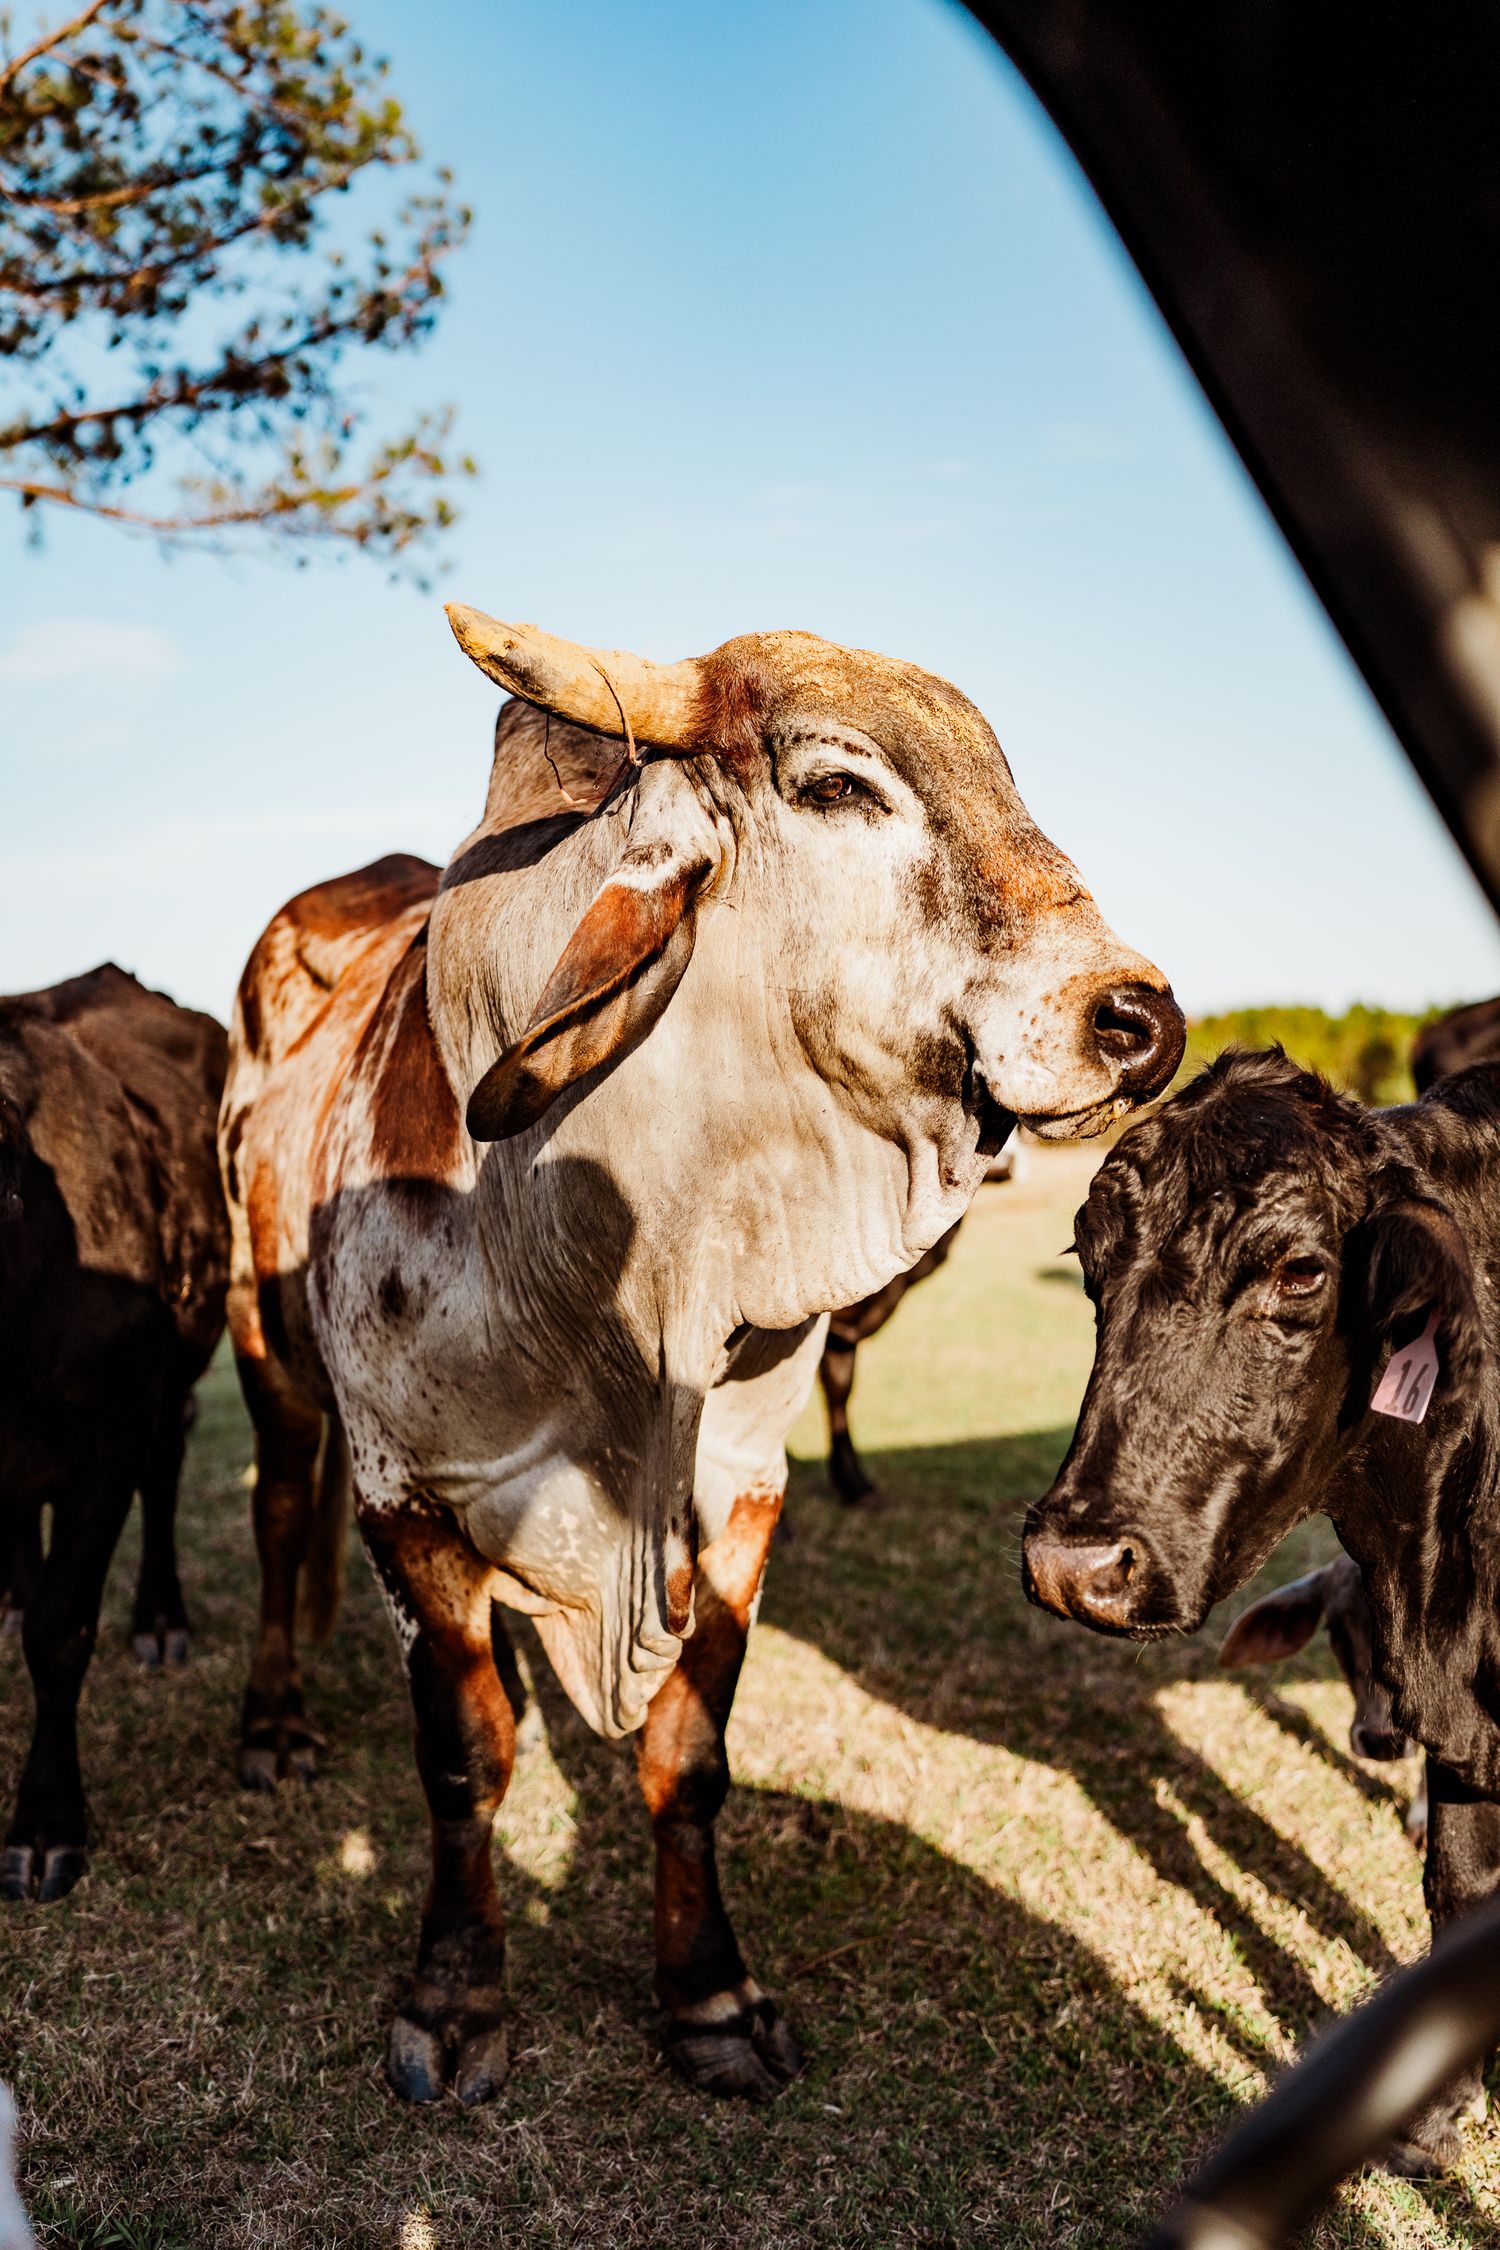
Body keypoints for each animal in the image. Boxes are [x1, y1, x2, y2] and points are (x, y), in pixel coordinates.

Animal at [220, 607, 1184, 2106]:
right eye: (839, 785)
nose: (1135, 1017)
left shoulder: (736, 1492)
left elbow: (688, 1754)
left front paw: (709, 1996)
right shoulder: (402, 1493)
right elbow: (464, 1756)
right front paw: (454, 1995)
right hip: (268, 1356)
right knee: (277, 1514)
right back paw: (273, 1725)